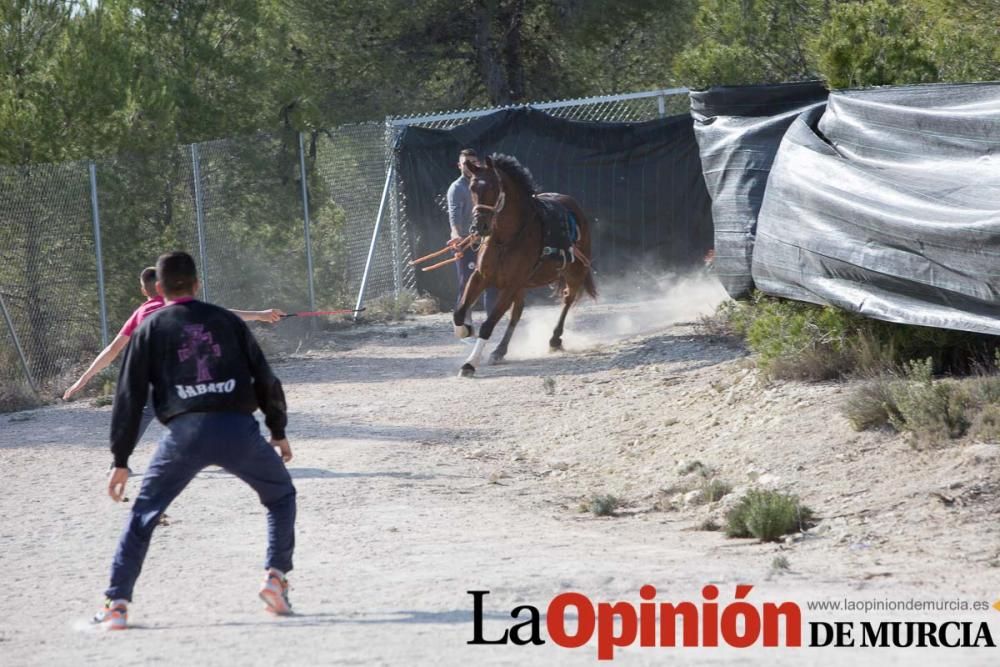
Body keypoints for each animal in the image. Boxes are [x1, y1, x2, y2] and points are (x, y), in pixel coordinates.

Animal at [454, 153, 592, 378]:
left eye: (494, 188)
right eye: (472, 187)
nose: (479, 226)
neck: (505, 239)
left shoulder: (511, 284)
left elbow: (488, 324)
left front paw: (469, 363)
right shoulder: (481, 276)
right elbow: (459, 313)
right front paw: (464, 330)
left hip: (575, 273)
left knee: (567, 300)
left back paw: (554, 339)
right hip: (523, 286)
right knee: (517, 313)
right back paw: (500, 350)